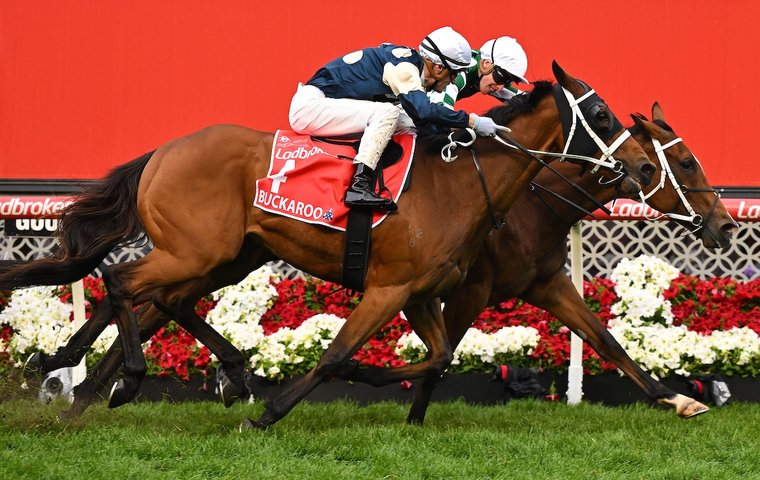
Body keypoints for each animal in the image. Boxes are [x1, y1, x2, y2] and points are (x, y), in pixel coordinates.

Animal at [1, 62, 655, 428]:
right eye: (599, 112)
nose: (646, 166)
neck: (463, 182)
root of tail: (163, 151)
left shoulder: (422, 293)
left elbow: (440, 356)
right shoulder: (389, 287)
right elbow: (337, 354)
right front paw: (271, 413)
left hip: (228, 256)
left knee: (163, 299)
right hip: (196, 251)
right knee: (123, 282)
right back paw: (126, 378)